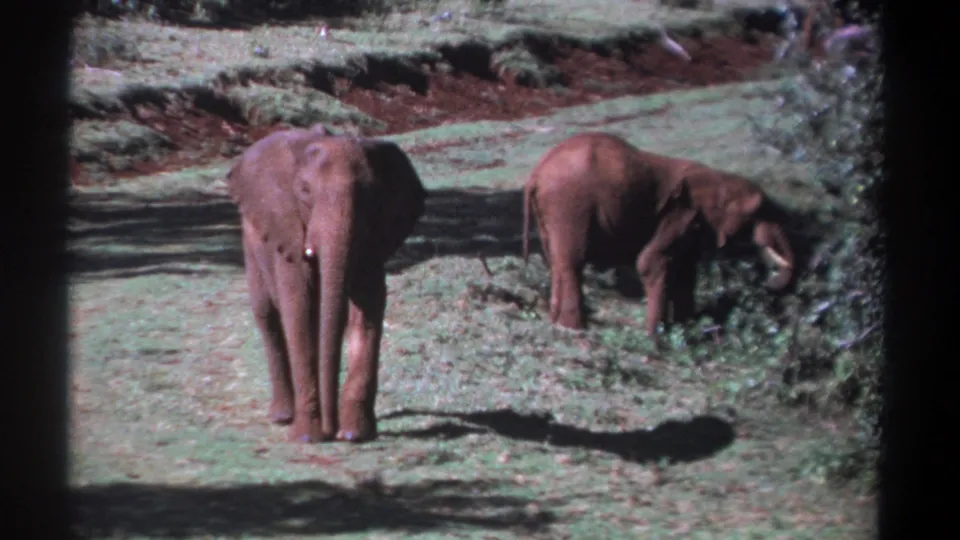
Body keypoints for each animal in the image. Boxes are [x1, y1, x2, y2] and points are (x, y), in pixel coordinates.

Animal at [226, 124, 427, 443]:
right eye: (305, 191)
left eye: (371, 194)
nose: (331, 429)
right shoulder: (288, 230)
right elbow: (299, 309)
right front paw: (308, 438)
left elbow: (369, 307)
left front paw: (354, 434)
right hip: (251, 241)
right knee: (267, 315)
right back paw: (282, 417)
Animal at [521, 132, 795, 336]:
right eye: (759, 210)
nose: (769, 280)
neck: (716, 179)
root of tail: (537, 173)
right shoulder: (681, 214)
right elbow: (651, 262)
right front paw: (657, 336)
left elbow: (686, 270)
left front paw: (687, 329)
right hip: (570, 204)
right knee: (572, 262)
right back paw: (575, 328)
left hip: (552, 209)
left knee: (556, 260)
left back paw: (558, 323)